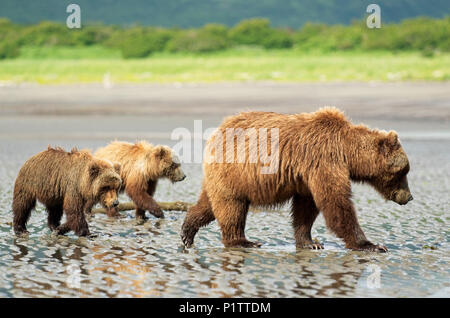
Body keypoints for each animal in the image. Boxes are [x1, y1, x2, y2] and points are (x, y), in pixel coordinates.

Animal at [181, 108, 414, 252]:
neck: (347, 152)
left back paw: (187, 232)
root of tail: (216, 131)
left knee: (210, 204)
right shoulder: (324, 160)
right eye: (404, 172)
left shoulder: (306, 178)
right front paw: (371, 245)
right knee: (232, 208)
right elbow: (336, 203)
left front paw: (310, 243)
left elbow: (306, 209)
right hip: (235, 172)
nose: (409, 197)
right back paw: (243, 241)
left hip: (225, 176)